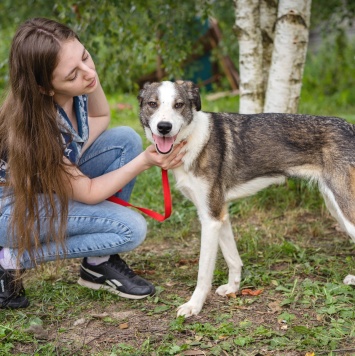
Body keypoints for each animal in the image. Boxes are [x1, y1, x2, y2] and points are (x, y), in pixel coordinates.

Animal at [138, 80, 355, 318]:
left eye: (179, 105)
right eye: (152, 104)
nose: (164, 127)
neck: (192, 139)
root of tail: (349, 127)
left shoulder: (210, 219)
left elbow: (203, 273)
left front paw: (194, 305)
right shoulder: (219, 214)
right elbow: (233, 259)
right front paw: (233, 288)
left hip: (345, 206)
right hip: (335, 206)